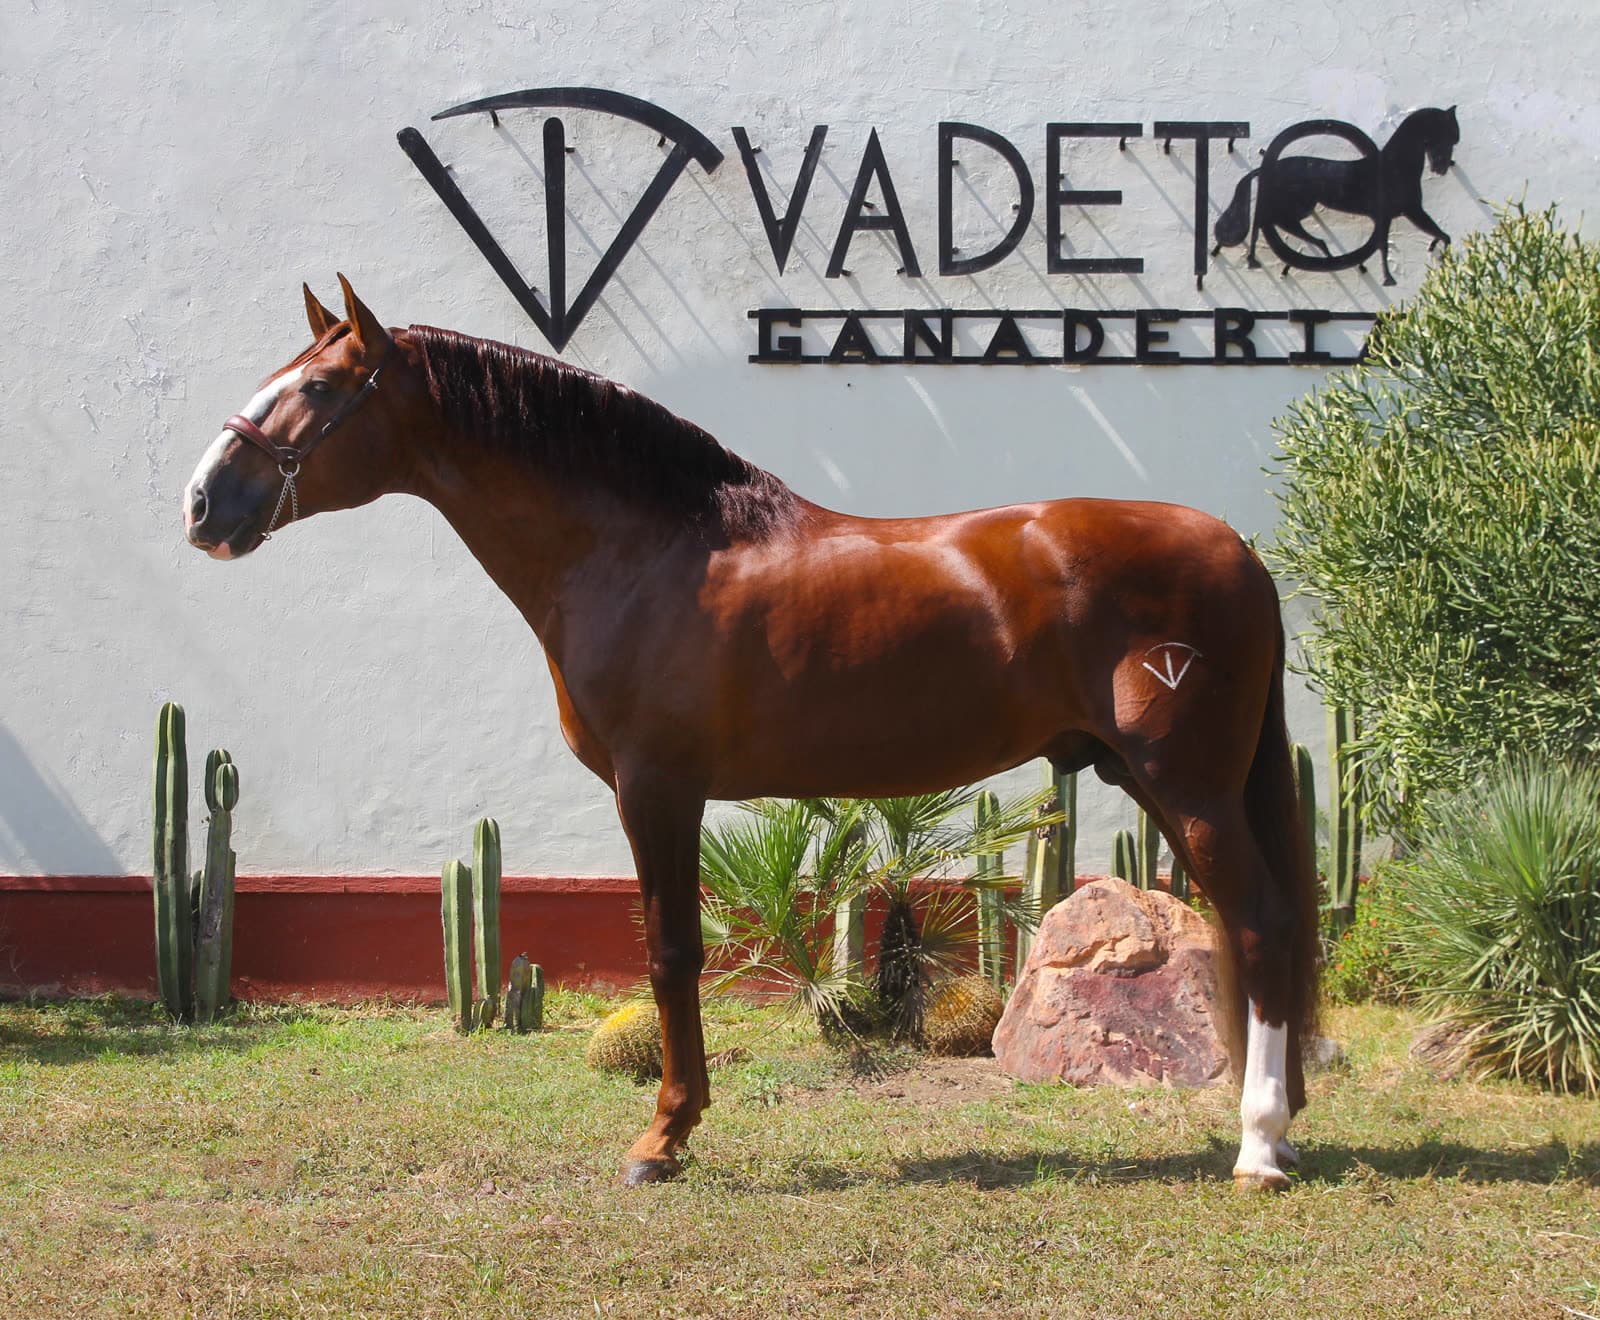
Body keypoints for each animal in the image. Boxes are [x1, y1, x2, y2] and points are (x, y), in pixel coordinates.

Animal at [183, 276, 1319, 1190]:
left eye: (318, 389)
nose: (202, 504)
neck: (643, 550)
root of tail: (1238, 551)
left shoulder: (655, 787)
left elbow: (671, 953)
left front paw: (663, 1139)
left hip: (1188, 787)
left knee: (1262, 925)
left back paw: (1260, 1146)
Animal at [1213, 106, 1459, 285]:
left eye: (1454, 139)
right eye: (1445, 135)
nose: (1441, 167)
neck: (1396, 165)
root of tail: (1267, 168)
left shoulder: (1403, 212)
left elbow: (1435, 232)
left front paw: (1438, 251)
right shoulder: (1405, 210)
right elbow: (1387, 244)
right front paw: (1389, 277)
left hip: (1298, 207)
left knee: (1277, 223)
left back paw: (1321, 252)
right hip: (1296, 205)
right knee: (1270, 222)